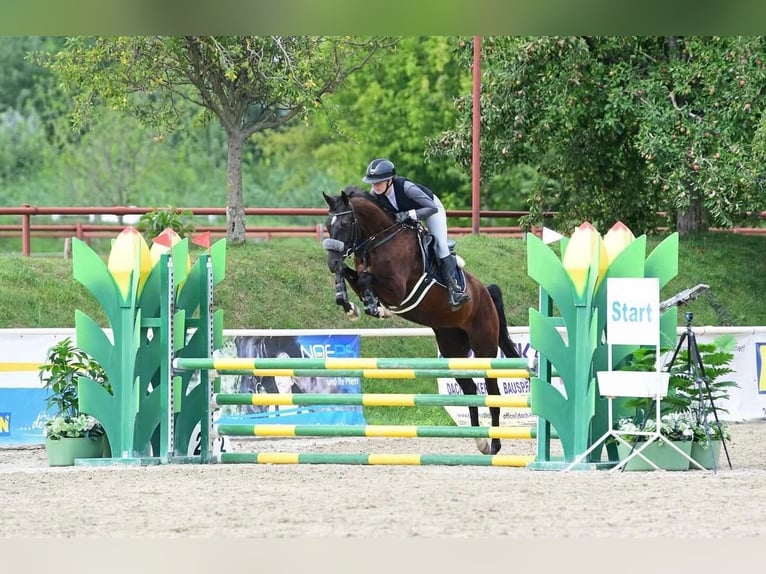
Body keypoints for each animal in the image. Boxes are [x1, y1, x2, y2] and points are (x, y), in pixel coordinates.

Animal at [322, 185, 521, 455]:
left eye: (344, 224)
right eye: (327, 225)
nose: (331, 262)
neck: (379, 239)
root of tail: (485, 293)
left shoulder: (396, 289)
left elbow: (365, 279)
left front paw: (375, 308)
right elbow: (353, 275)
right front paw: (349, 304)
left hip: (484, 346)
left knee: (492, 392)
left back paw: (495, 445)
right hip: (451, 348)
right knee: (469, 389)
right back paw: (480, 441)